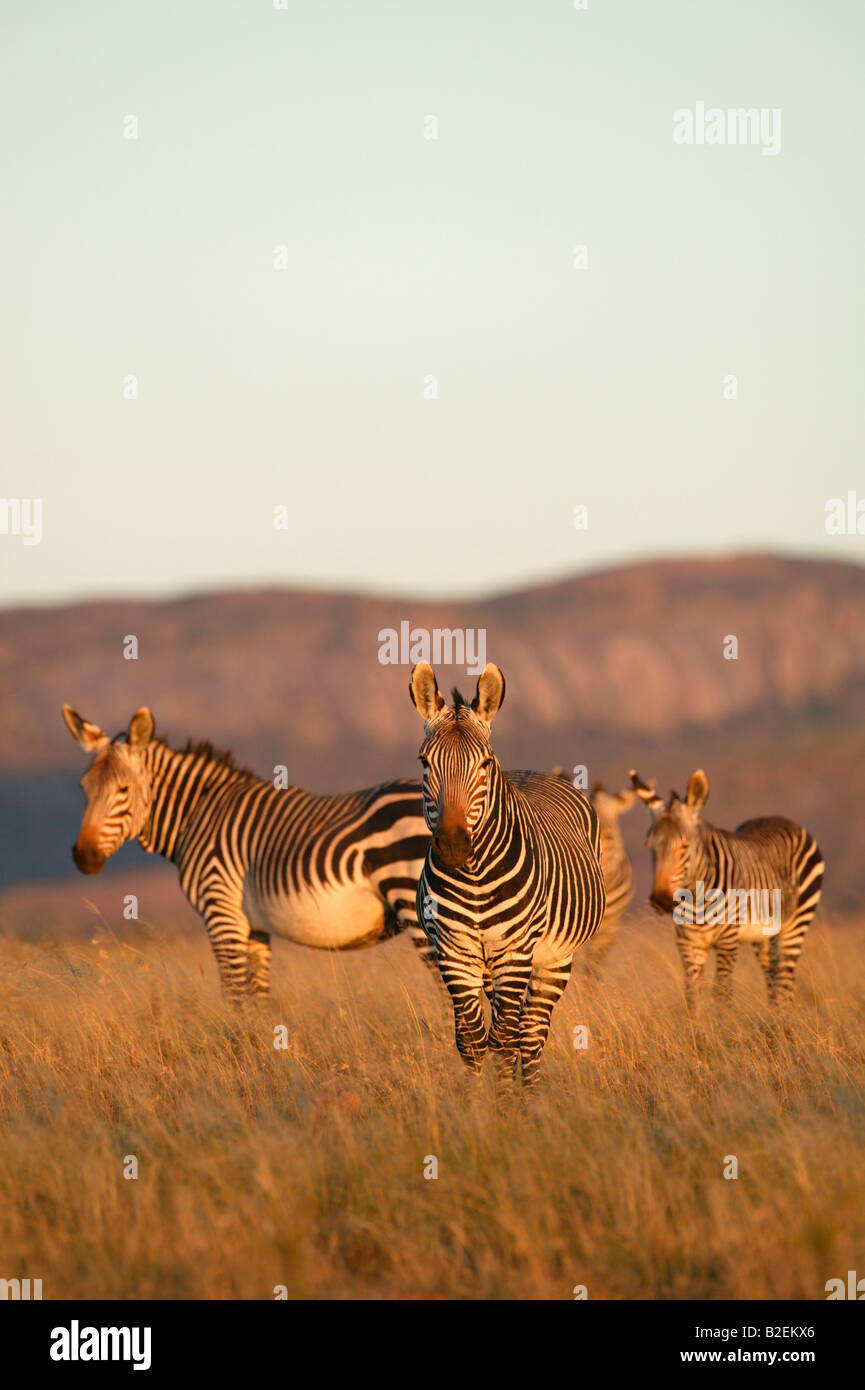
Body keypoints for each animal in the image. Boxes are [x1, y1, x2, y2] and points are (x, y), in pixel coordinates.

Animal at [60, 706, 433, 1000]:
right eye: (83, 788)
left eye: (123, 790)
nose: (83, 857)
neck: (197, 814)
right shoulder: (255, 926)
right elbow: (258, 1000)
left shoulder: (222, 913)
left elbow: (236, 998)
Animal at [408, 661, 606, 1084]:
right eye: (424, 762)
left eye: (485, 763)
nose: (453, 845)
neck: (475, 877)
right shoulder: (454, 953)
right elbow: (470, 1040)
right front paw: (474, 1100)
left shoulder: (515, 952)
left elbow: (504, 1041)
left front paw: (505, 1102)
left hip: (553, 959)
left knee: (530, 1034)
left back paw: (528, 1093)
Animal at [631, 767, 828, 1006]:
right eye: (650, 846)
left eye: (685, 846)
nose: (660, 901)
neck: (696, 900)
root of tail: (783, 820)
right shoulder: (688, 943)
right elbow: (692, 995)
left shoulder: (728, 940)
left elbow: (722, 994)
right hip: (765, 935)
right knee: (774, 979)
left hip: (797, 923)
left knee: (785, 982)